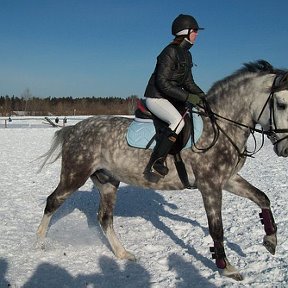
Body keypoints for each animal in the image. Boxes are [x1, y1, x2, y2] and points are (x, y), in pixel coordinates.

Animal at [37, 59, 288, 280]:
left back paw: (123, 253)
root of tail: (73, 129)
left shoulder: (228, 180)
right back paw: (39, 243)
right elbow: (216, 228)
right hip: (74, 175)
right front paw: (227, 268)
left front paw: (271, 241)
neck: (221, 127)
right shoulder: (210, 185)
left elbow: (262, 198)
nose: (285, 149)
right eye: (282, 104)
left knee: (104, 218)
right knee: (53, 202)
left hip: (108, 182)